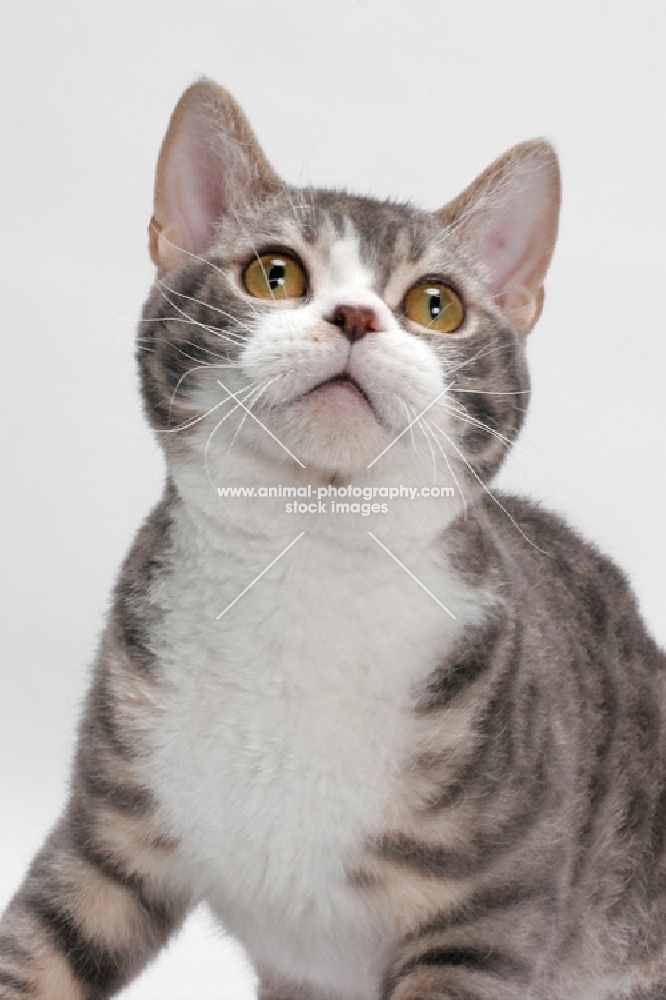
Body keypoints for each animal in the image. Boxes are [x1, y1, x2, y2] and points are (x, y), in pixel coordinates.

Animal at [1, 76, 664, 1000]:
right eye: (273, 274)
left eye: (435, 304)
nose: (355, 315)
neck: (308, 557)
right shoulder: (109, 835)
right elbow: (41, 946)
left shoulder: (493, 905)